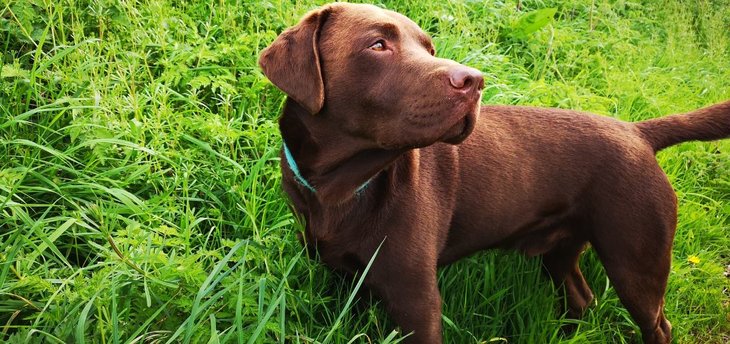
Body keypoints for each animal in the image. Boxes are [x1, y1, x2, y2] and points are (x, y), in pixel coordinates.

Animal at [258, 3, 728, 344]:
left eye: (429, 49)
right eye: (377, 45)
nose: (475, 80)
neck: (337, 189)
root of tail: (637, 131)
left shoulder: (416, 299)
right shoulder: (339, 278)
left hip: (637, 262)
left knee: (657, 325)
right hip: (563, 251)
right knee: (582, 298)